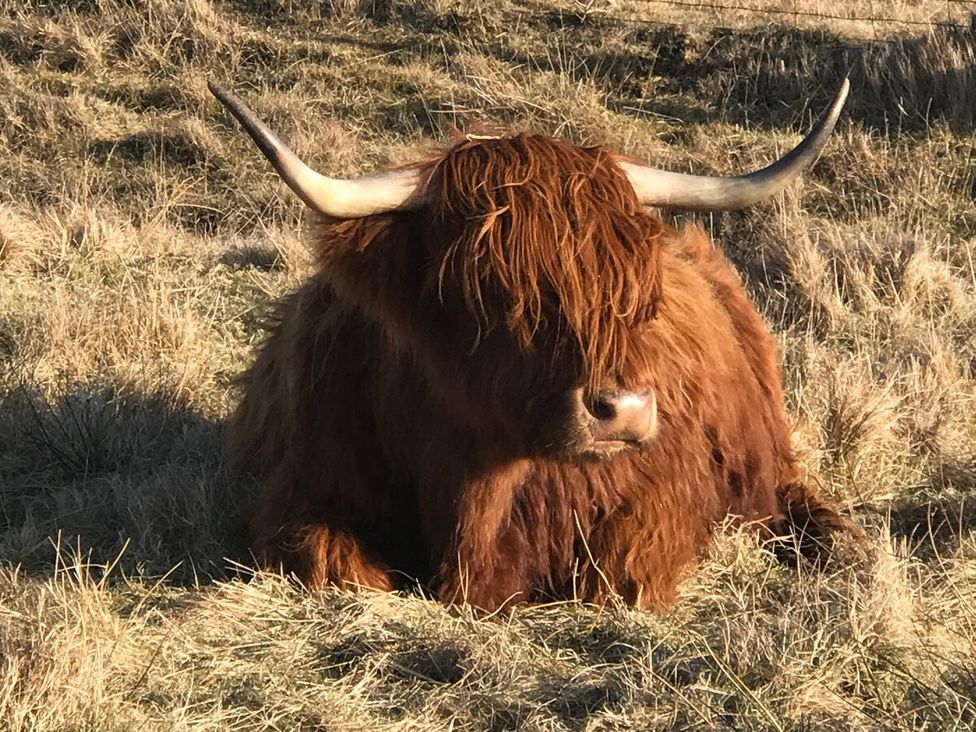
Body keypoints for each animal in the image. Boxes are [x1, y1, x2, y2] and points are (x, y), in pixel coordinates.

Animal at [210, 78, 852, 611]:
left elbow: (619, 571)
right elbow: (333, 562)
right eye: (492, 285)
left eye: (636, 291)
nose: (625, 411)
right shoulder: (303, 490)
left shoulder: (661, 496)